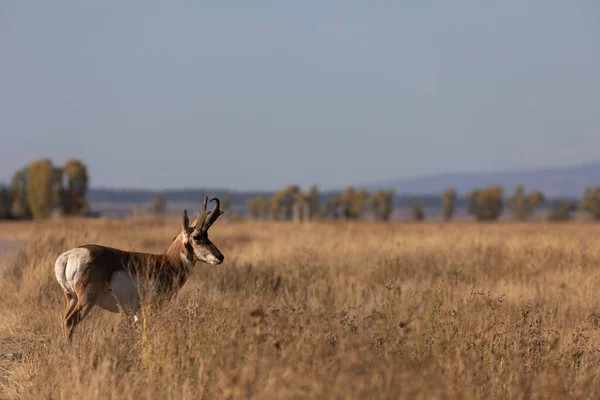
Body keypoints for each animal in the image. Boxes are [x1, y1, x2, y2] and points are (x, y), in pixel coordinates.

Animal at [54, 197, 225, 340]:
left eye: (207, 235)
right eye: (196, 237)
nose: (220, 257)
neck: (167, 261)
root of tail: (68, 256)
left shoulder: (136, 313)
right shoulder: (151, 308)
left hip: (71, 298)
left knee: (63, 320)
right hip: (87, 300)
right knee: (70, 322)